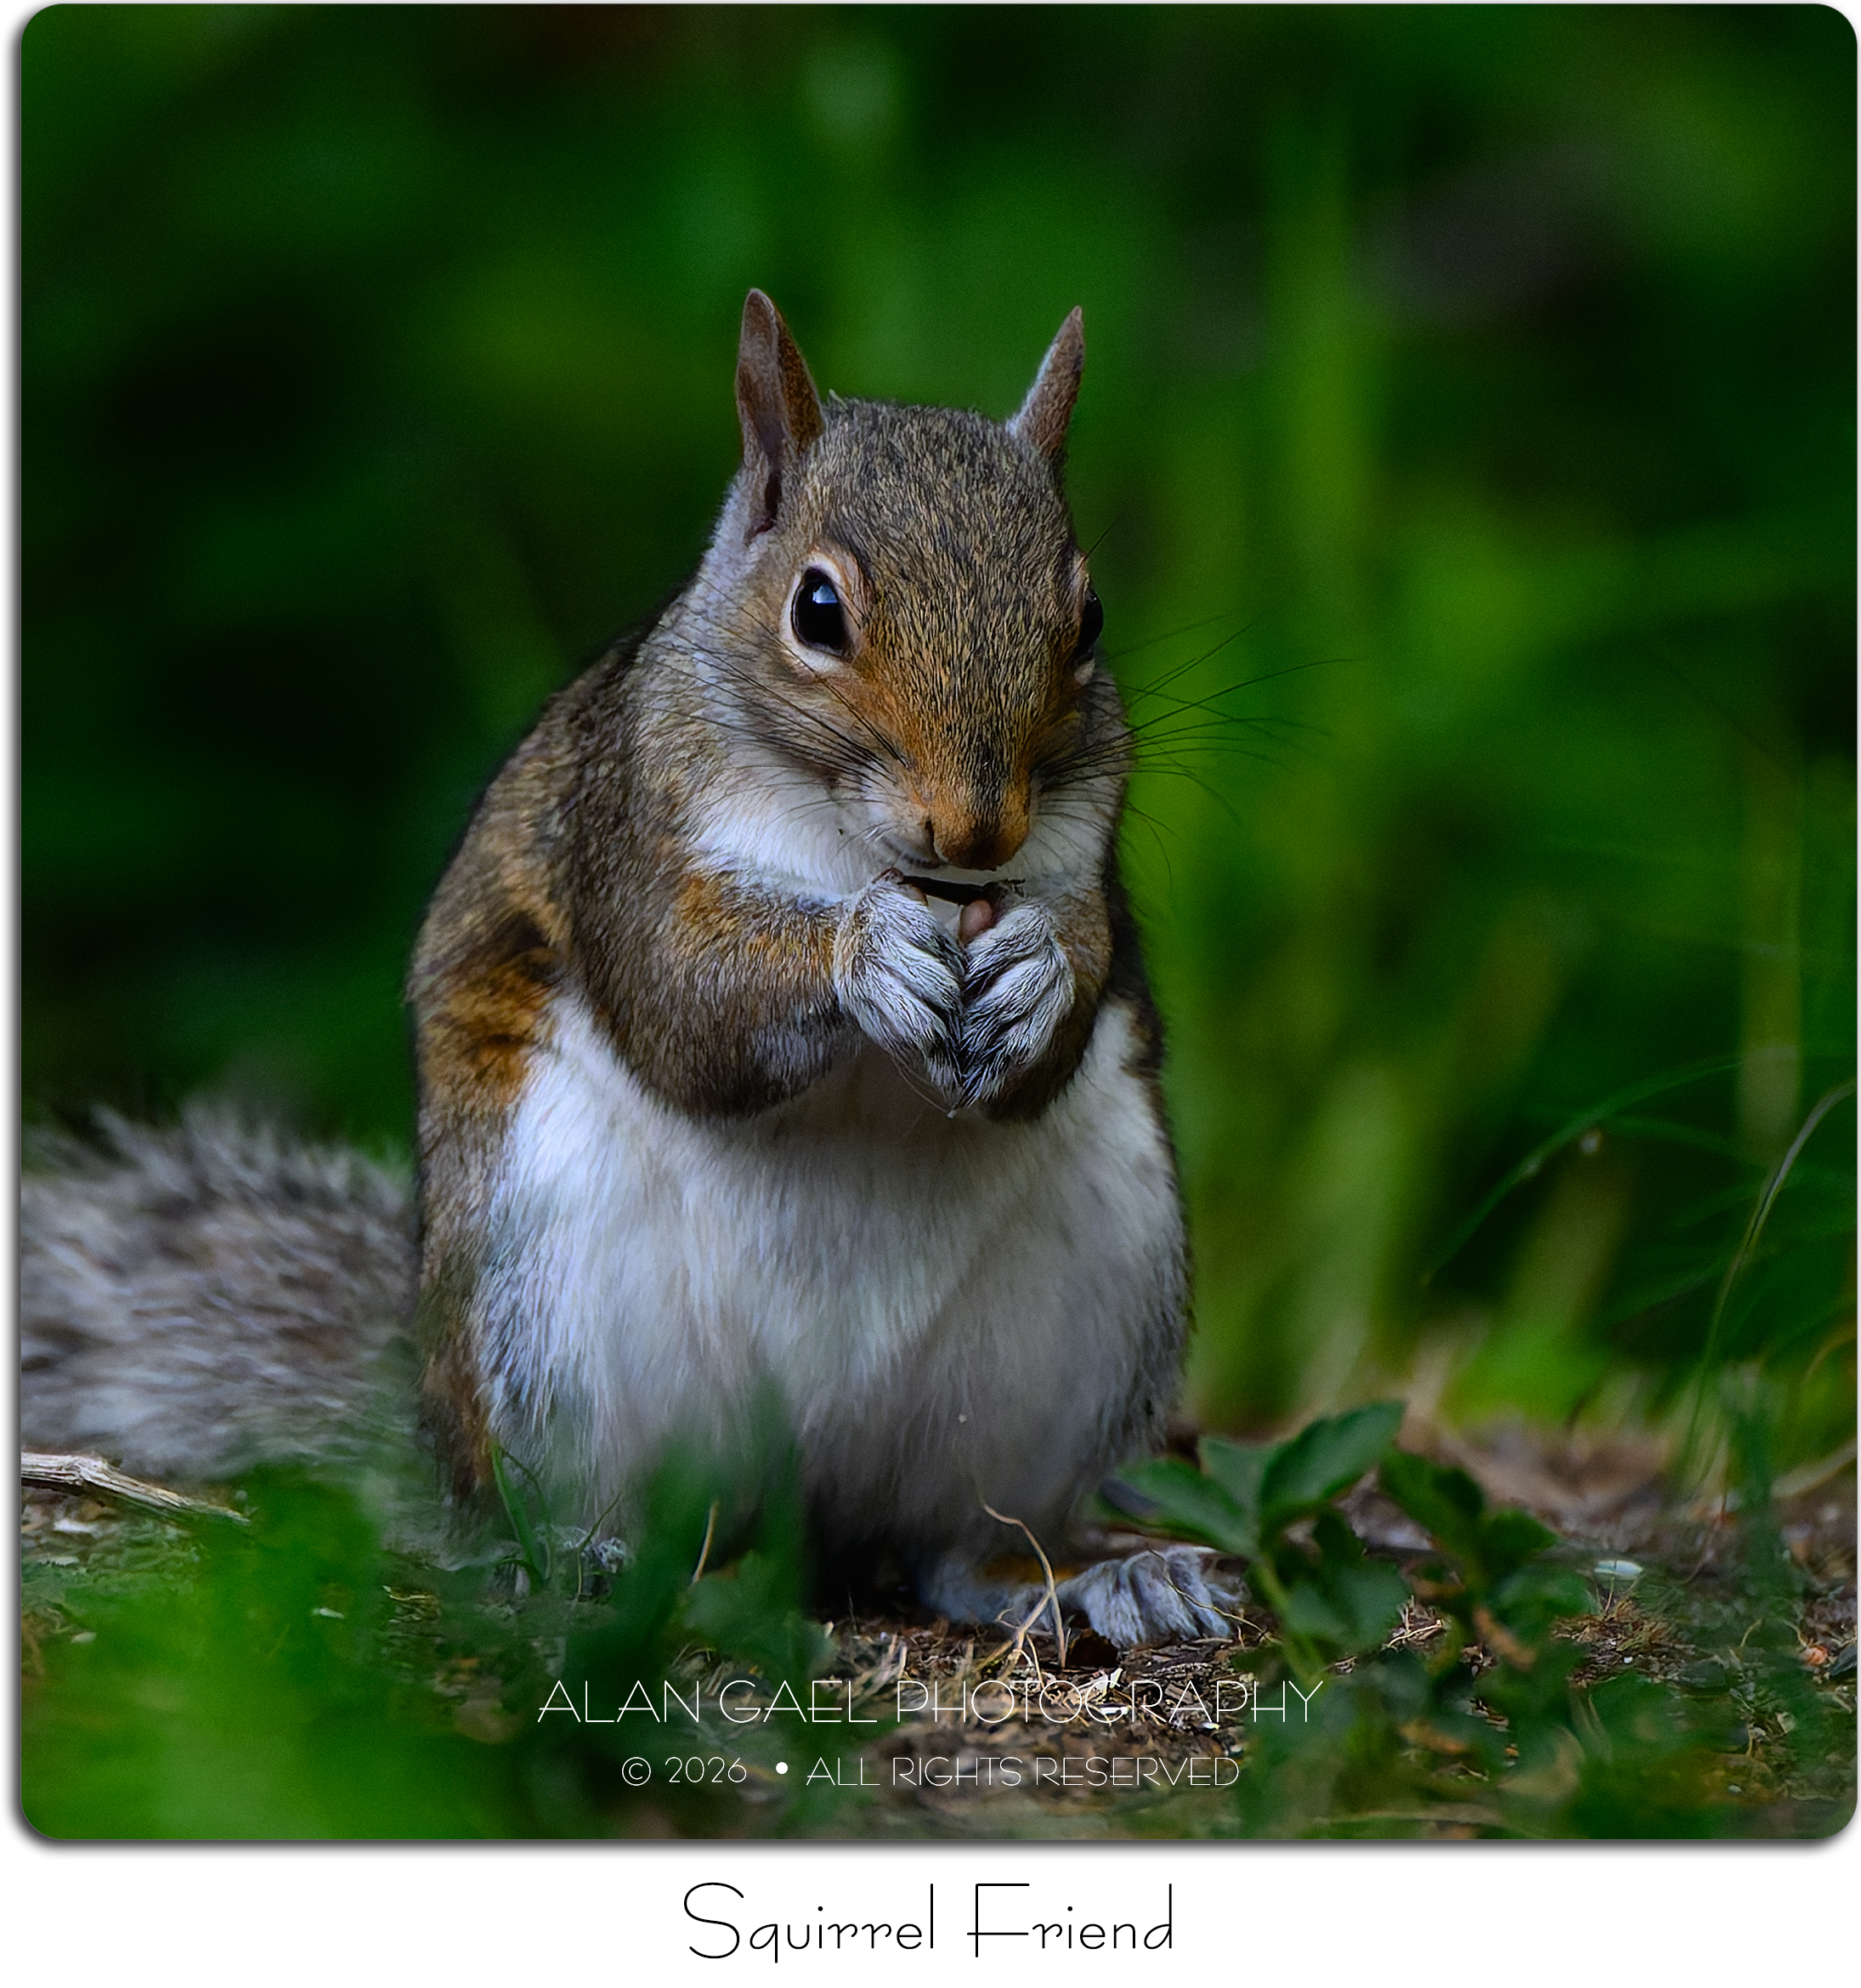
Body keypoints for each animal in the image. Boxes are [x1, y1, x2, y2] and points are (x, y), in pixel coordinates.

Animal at [21, 293, 1234, 1649]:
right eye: (818, 610)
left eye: (1088, 620)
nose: (976, 836)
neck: (865, 849)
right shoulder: (627, 837)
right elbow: (685, 1003)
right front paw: (864, 950)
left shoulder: (1083, 865)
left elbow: (1070, 990)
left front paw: (1032, 971)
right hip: (543, 1312)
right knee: (561, 1517)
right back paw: (582, 1563)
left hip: (1081, 1325)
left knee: (956, 1550)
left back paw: (1094, 1578)